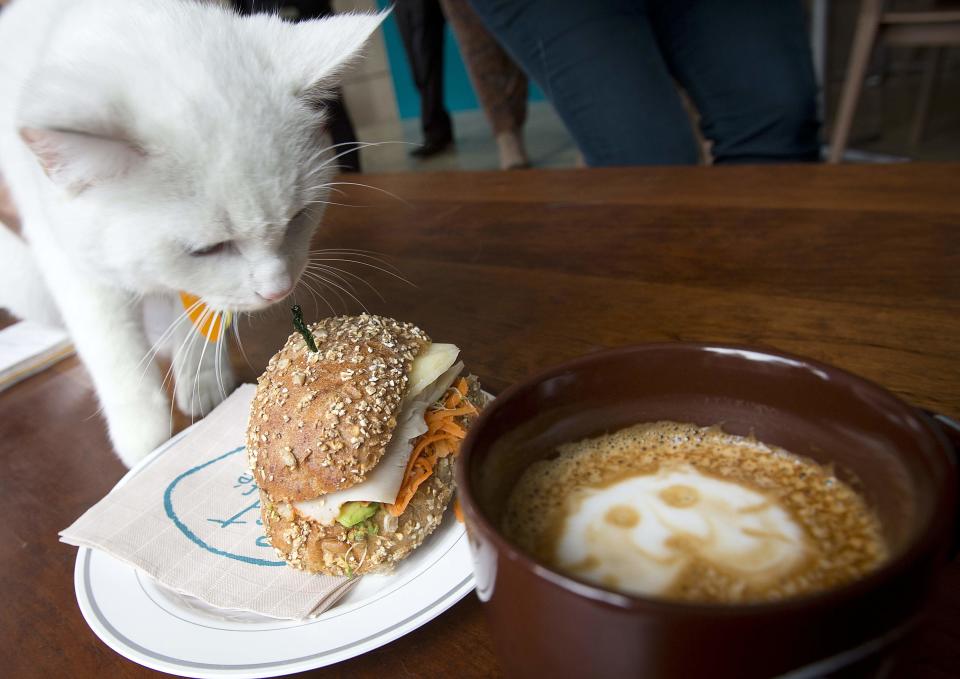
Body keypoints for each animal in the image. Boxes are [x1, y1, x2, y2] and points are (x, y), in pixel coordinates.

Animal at [0, 0, 382, 468]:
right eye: (208, 249)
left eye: (299, 217)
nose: (278, 289)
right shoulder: (73, 264)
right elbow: (116, 351)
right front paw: (145, 439)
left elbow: (201, 319)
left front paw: (204, 384)